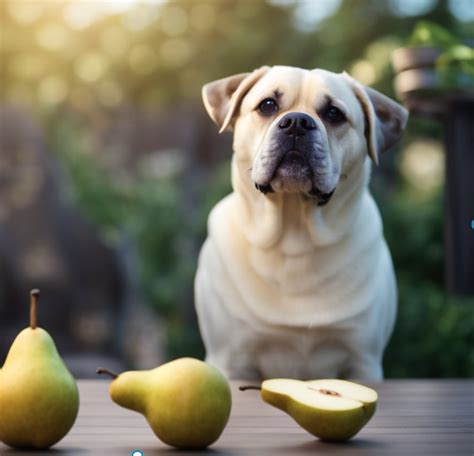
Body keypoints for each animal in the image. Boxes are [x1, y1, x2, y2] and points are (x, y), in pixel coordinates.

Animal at [193, 66, 408, 380]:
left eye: (333, 113)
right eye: (267, 105)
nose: (297, 122)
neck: (294, 236)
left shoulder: (364, 361)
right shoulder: (230, 360)